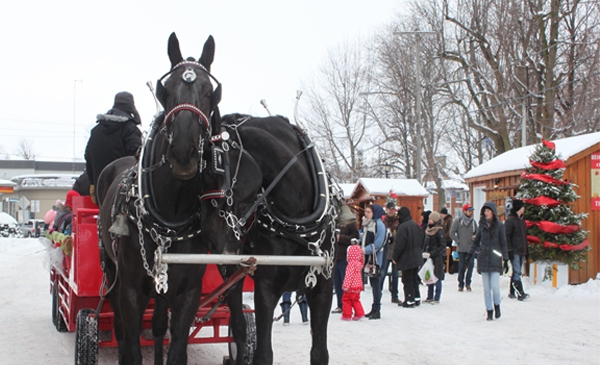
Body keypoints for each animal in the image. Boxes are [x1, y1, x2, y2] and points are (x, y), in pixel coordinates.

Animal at [96, 32, 227, 362]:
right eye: (165, 90)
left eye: (210, 92)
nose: (182, 152)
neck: (172, 214)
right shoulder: (131, 290)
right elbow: (130, 346)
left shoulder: (187, 291)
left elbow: (176, 348)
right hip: (112, 271)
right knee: (119, 324)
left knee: (157, 326)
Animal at [202, 114, 342, 364]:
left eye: (214, 169)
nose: (209, 233)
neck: (300, 225)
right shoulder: (266, 288)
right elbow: (263, 354)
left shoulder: (323, 289)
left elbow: (319, 353)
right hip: (232, 273)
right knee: (239, 328)